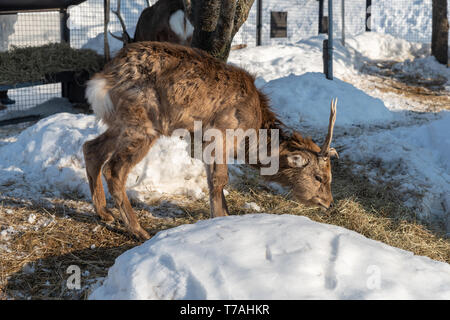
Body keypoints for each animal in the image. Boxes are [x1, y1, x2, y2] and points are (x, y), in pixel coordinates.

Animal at [83, 40, 338, 240]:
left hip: (120, 122)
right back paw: (138, 230)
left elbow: (212, 180)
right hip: (143, 123)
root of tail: (105, 76)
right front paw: (219, 219)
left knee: (91, 148)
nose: (329, 202)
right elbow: (219, 180)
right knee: (114, 169)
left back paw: (104, 213)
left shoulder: (203, 143)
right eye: (319, 177)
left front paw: (223, 216)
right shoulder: (220, 135)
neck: (250, 140)